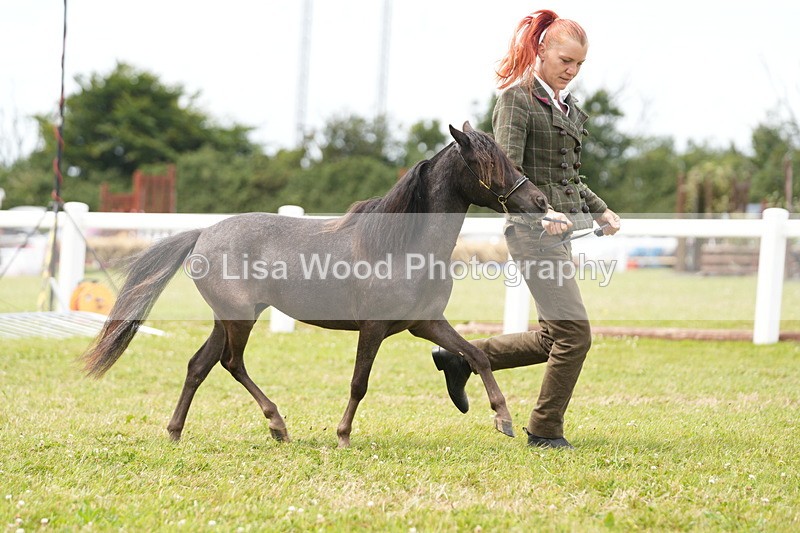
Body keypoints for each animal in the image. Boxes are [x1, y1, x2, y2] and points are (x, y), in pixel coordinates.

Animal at [82, 122, 549, 447]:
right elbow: (360, 382)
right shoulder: (373, 329)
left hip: (227, 319)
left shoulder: (426, 323)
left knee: (199, 365)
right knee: (232, 364)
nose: (540, 202)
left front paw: (504, 419)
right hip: (240, 320)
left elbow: (477, 355)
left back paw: (176, 431)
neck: (403, 246)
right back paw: (277, 424)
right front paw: (342, 436)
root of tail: (203, 233)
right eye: (489, 164)